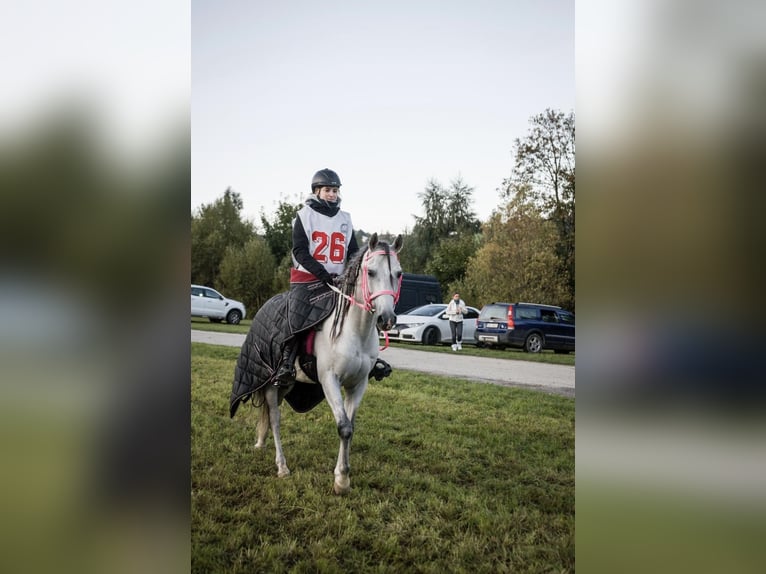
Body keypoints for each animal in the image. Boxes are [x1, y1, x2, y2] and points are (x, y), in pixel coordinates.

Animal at [244, 233, 403, 494]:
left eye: (398, 273)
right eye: (370, 272)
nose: (386, 319)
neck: (354, 331)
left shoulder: (357, 384)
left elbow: (350, 427)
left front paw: (342, 477)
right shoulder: (329, 380)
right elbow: (343, 427)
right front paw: (342, 480)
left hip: (288, 385)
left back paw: (261, 442)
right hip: (271, 384)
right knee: (275, 418)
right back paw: (282, 467)